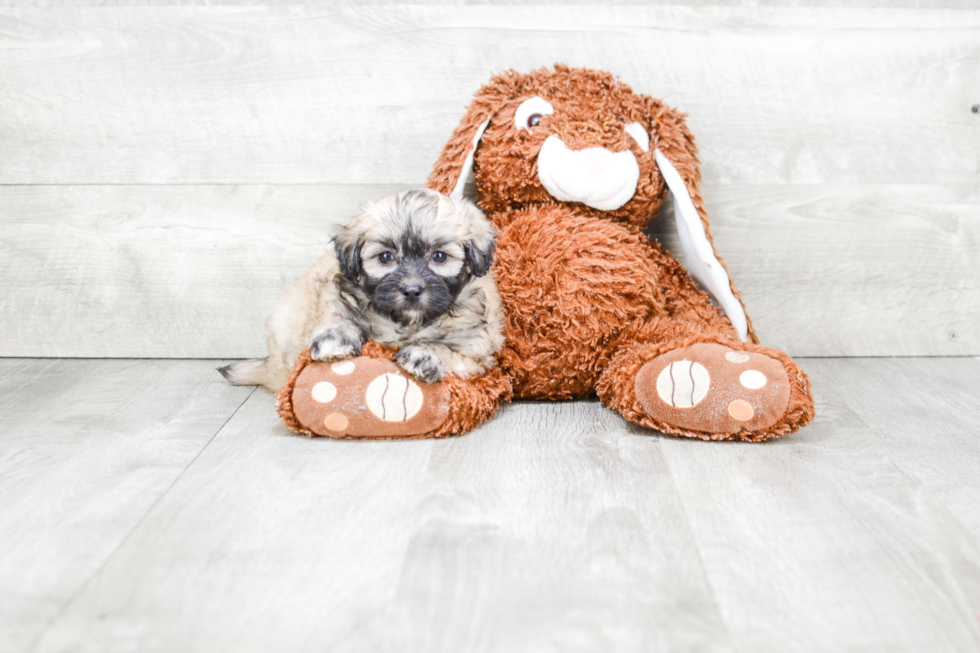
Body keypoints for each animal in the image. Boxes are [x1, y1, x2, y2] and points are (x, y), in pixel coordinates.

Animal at [221, 188, 506, 392]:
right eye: (385, 257)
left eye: (439, 257)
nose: (412, 290)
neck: (404, 322)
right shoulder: (335, 297)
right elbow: (339, 318)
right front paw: (336, 338)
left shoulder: (475, 346)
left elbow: (445, 348)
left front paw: (423, 355)